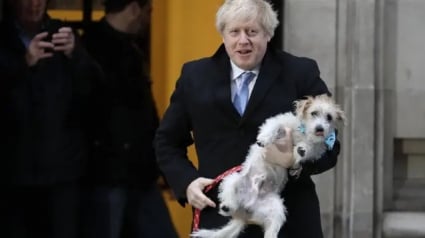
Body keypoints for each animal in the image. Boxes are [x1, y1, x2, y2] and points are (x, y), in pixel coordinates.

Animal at [191, 94, 344, 238]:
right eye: (314, 113)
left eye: (329, 117)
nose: (320, 129)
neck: (304, 133)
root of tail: (247, 208)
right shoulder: (282, 121)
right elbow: (275, 126)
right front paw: (265, 138)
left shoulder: (318, 149)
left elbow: (310, 148)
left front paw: (301, 150)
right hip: (233, 179)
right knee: (229, 196)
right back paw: (226, 206)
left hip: (276, 209)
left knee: (271, 230)